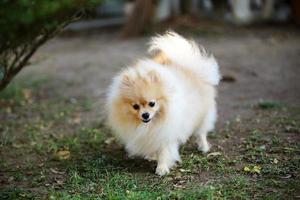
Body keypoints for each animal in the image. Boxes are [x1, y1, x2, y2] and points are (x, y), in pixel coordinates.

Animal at [106, 30, 220, 175]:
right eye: (135, 106)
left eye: (152, 103)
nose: (145, 115)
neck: (151, 124)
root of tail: (193, 69)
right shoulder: (152, 135)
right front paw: (151, 156)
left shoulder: (166, 134)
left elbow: (164, 152)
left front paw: (162, 168)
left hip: (203, 116)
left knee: (201, 133)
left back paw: (203, 147)